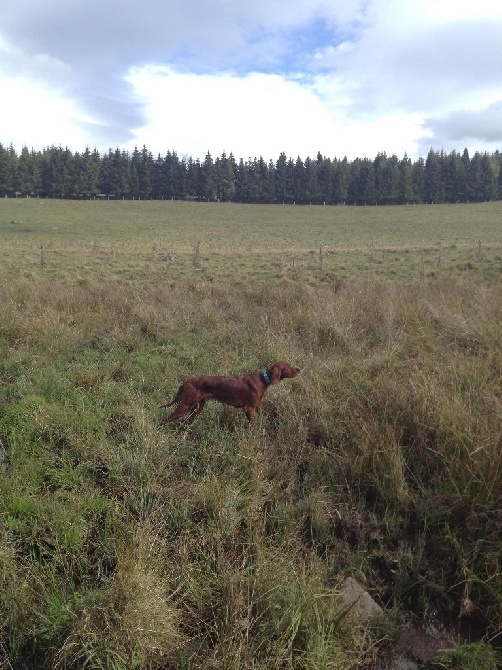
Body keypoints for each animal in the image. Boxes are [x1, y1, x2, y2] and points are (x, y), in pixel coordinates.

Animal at [161, 362, 300, 426]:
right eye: (288, 366)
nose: (299, 369)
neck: (263, 379)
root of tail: (187, 381)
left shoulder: (256, 407)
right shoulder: (249, 409)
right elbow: (252, 426)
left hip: (197, 407)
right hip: (186, 405)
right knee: (165, 419)